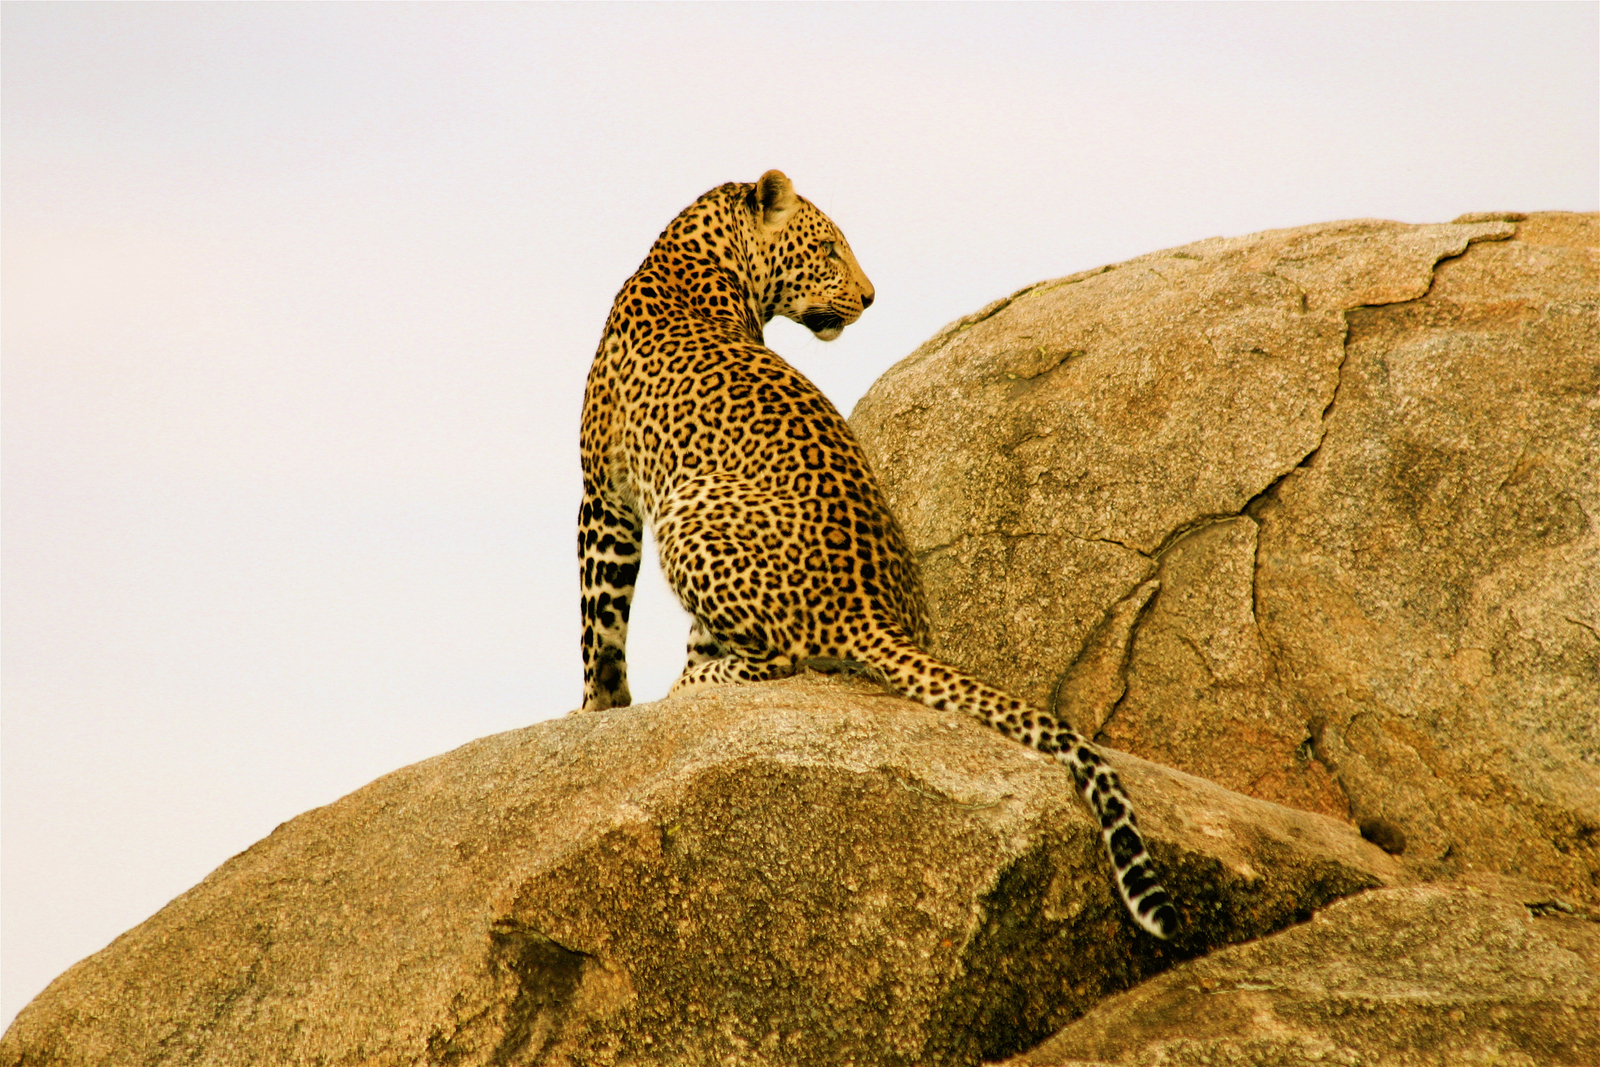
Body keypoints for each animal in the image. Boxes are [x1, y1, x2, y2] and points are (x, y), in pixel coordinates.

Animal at [577, 170, 1180, 940]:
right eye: (830, 248)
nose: (869, 297)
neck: (697, 256)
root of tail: (874, 613)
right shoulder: (608, 492)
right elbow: (604, 620)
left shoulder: (605, 496)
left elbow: (598, 624)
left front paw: (595, 711)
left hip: (689, 511)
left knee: (779, 656)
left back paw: (692, 687)